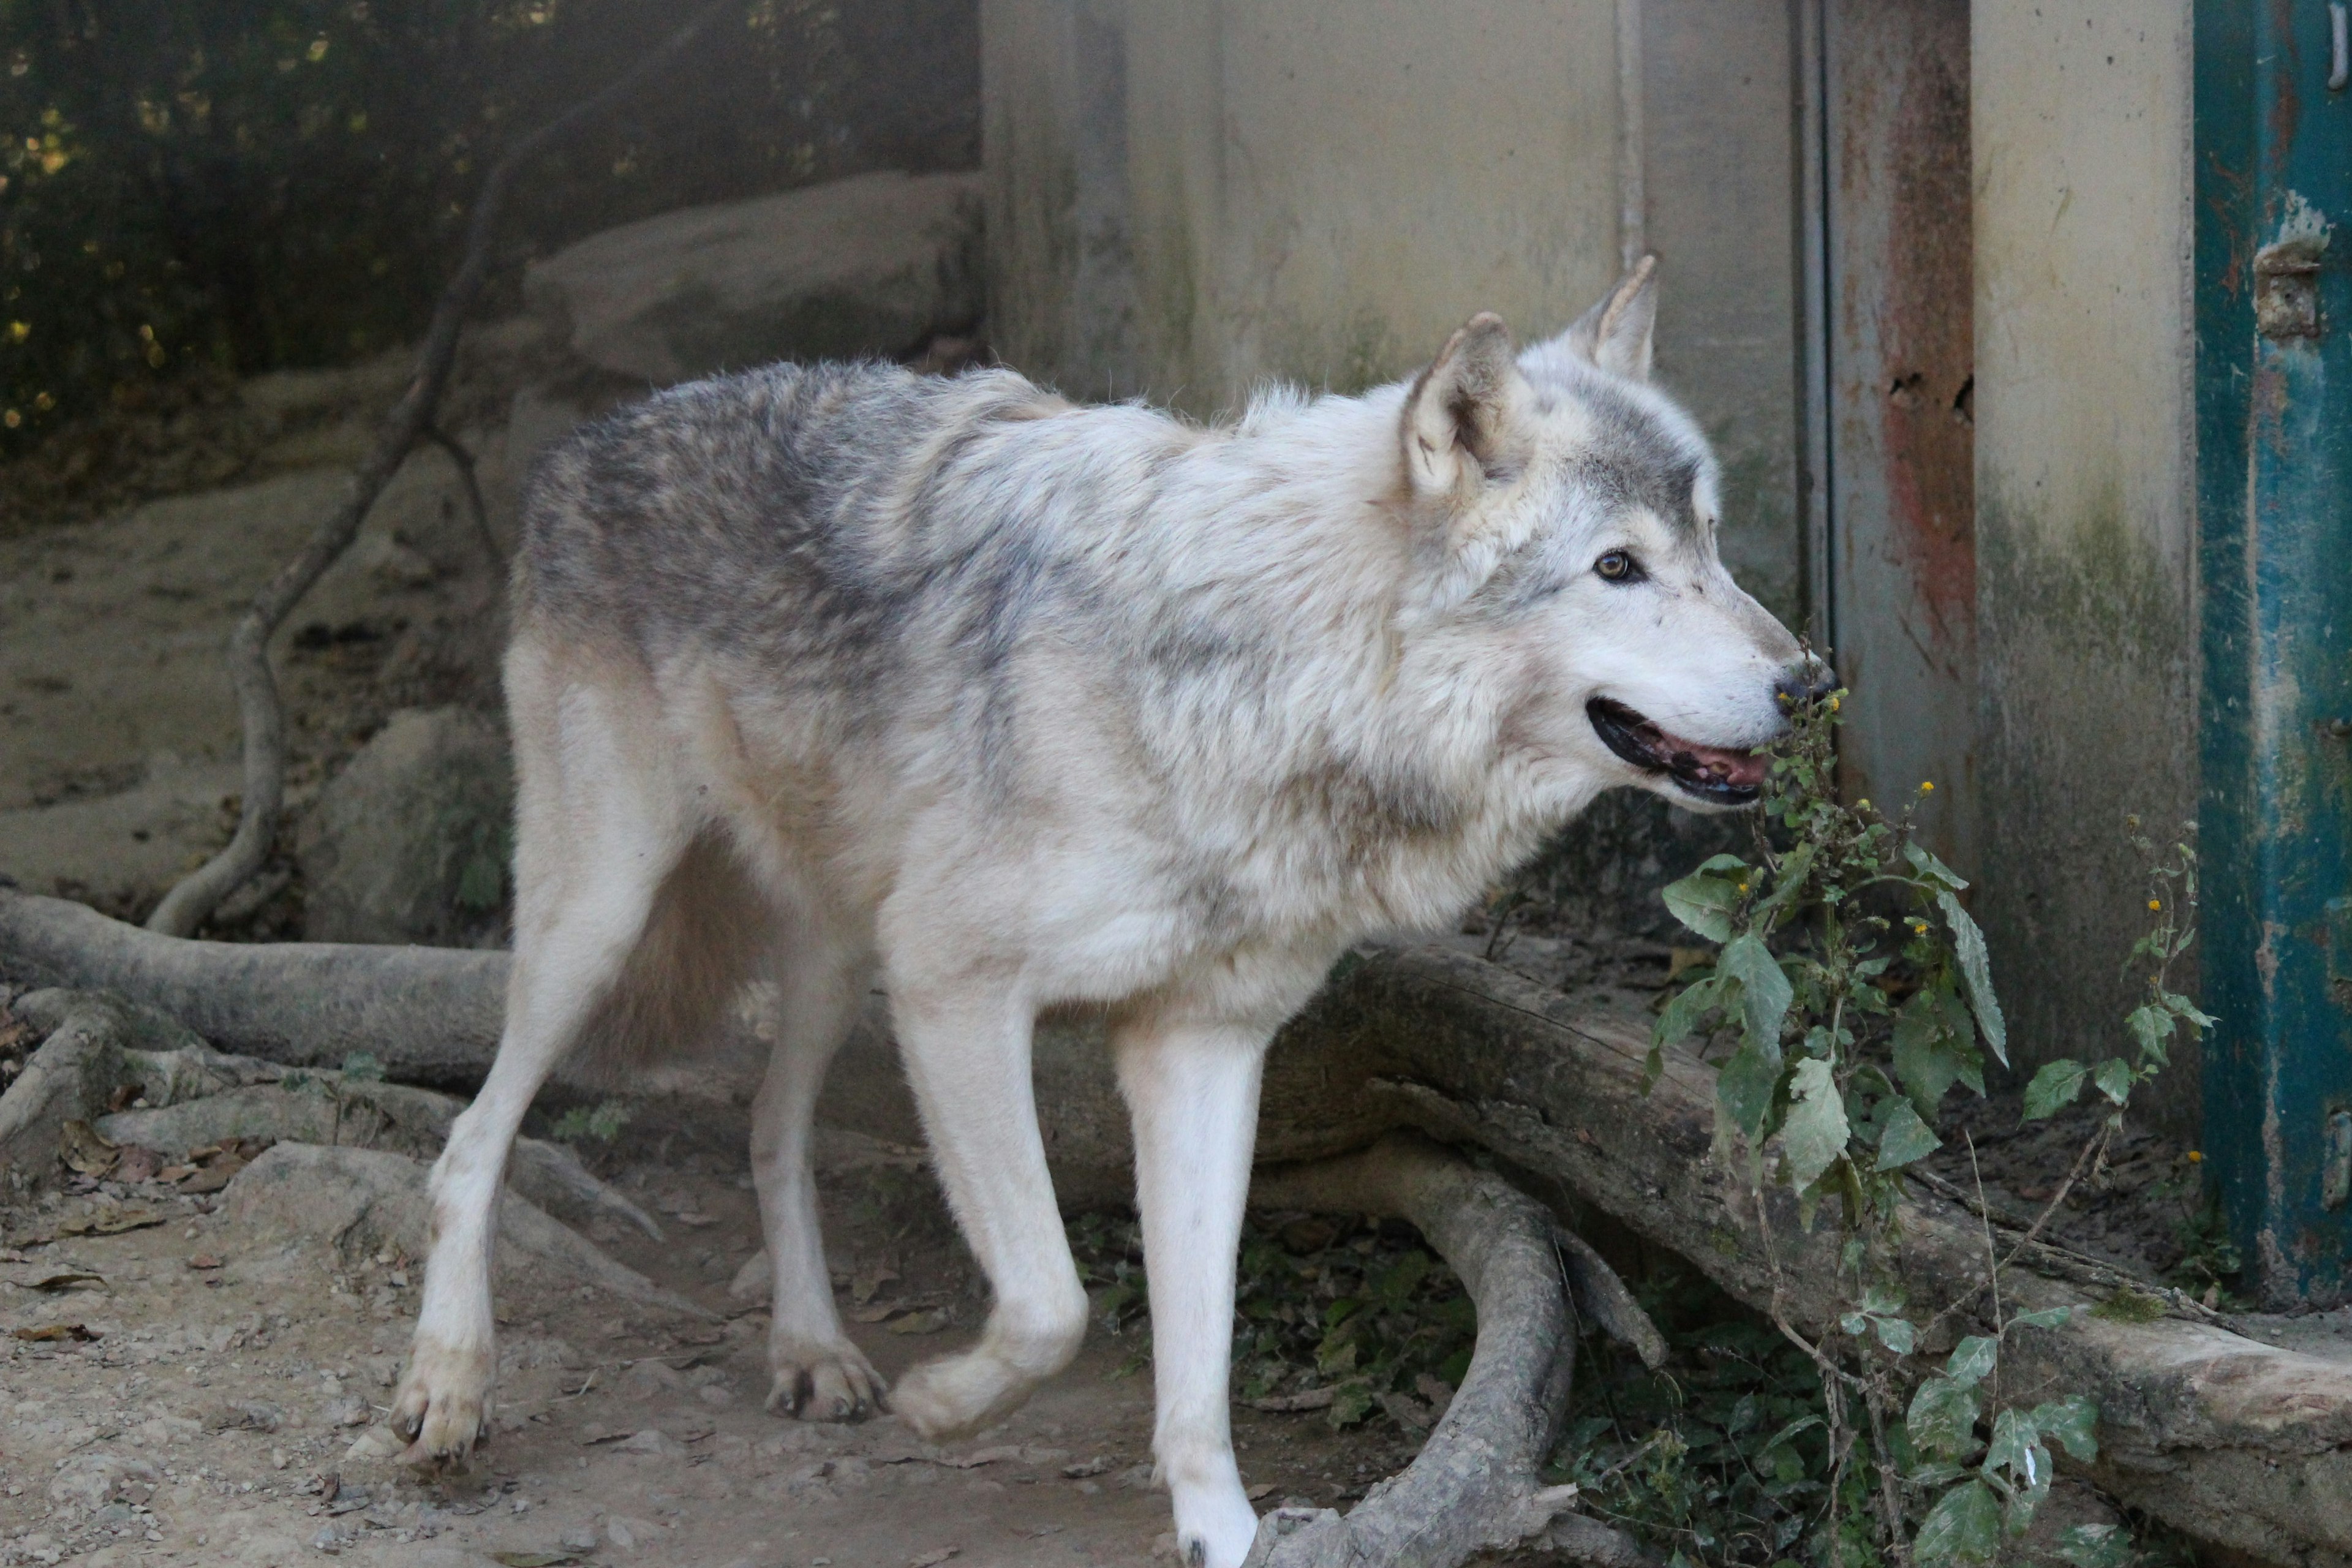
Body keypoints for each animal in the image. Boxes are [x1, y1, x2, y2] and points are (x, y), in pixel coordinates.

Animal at [395, 261, 1815, 1568]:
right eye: (1617, 566)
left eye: (1712, 541)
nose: (1809, 682)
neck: (1273, 679)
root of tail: (592, 439)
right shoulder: (958, 988)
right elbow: (1050, 1304)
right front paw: (947, 1403)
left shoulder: (1203, 1043)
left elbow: (1197, 1348)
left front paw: (1220, 1530)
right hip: (606, 917)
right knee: (473, 1139)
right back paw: (450, 1385)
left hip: (838, 959)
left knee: (767, 1126)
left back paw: (811, 1349)